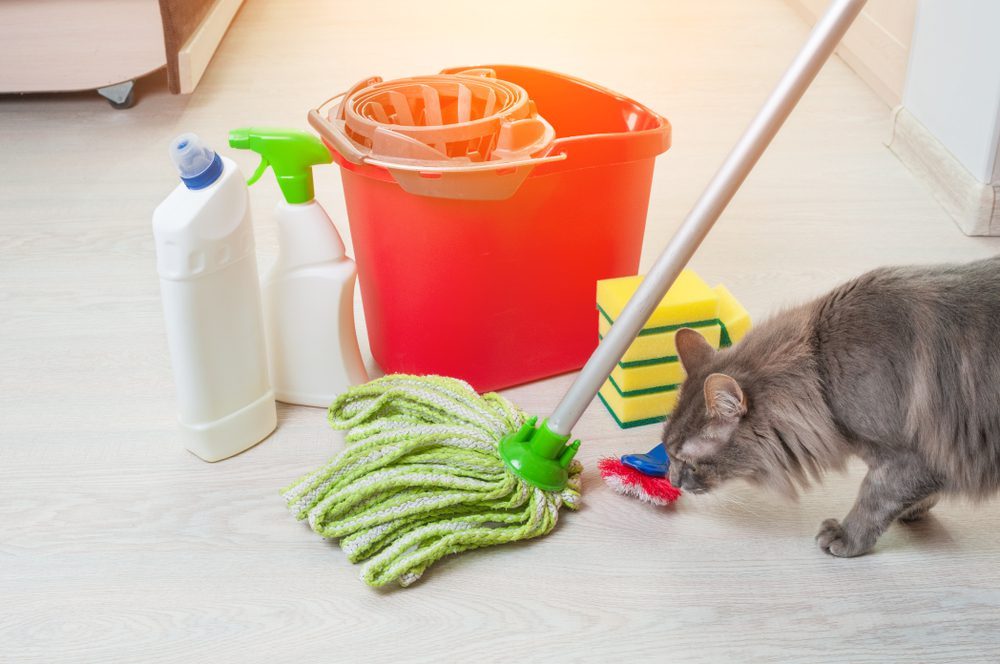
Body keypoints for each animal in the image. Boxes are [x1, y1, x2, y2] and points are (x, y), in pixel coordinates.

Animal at [664, 254, 1000, 556]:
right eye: (666, 452)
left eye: (687, 460)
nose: (672, 480)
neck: (820, 370)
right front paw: (916, 508)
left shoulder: (909, 457)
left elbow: (873, 498)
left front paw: (847, 537)